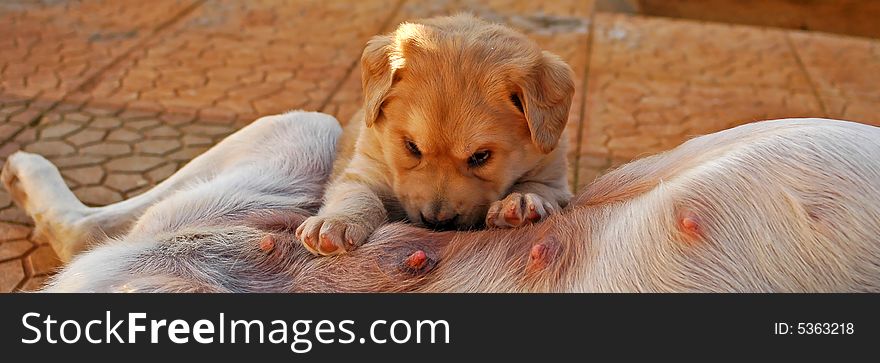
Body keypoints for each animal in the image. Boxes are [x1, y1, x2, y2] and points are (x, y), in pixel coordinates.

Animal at [294, 14, 576, 256]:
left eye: (481, 156)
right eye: (412, 147)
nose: (437, 222)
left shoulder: (555, 177)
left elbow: (538, 186)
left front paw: (521, 202)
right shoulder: (363, 169)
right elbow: (357, 195)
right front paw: (334, 222)